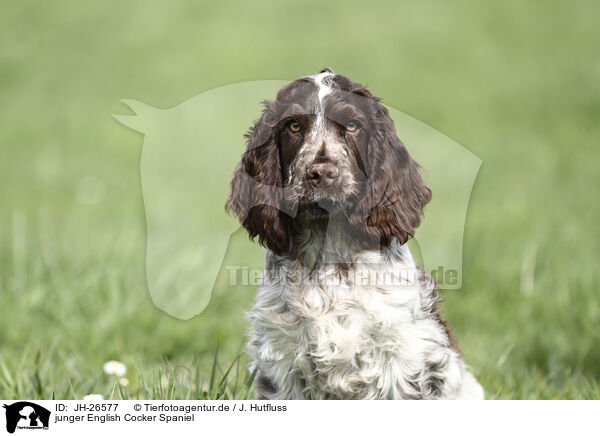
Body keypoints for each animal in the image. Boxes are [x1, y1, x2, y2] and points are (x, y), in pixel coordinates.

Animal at [225, 68, 482, 398]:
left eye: (352, 125)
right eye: (294, 125)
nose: (322, 173)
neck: (327, 256)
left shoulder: (402, 359)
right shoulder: (282, 361)